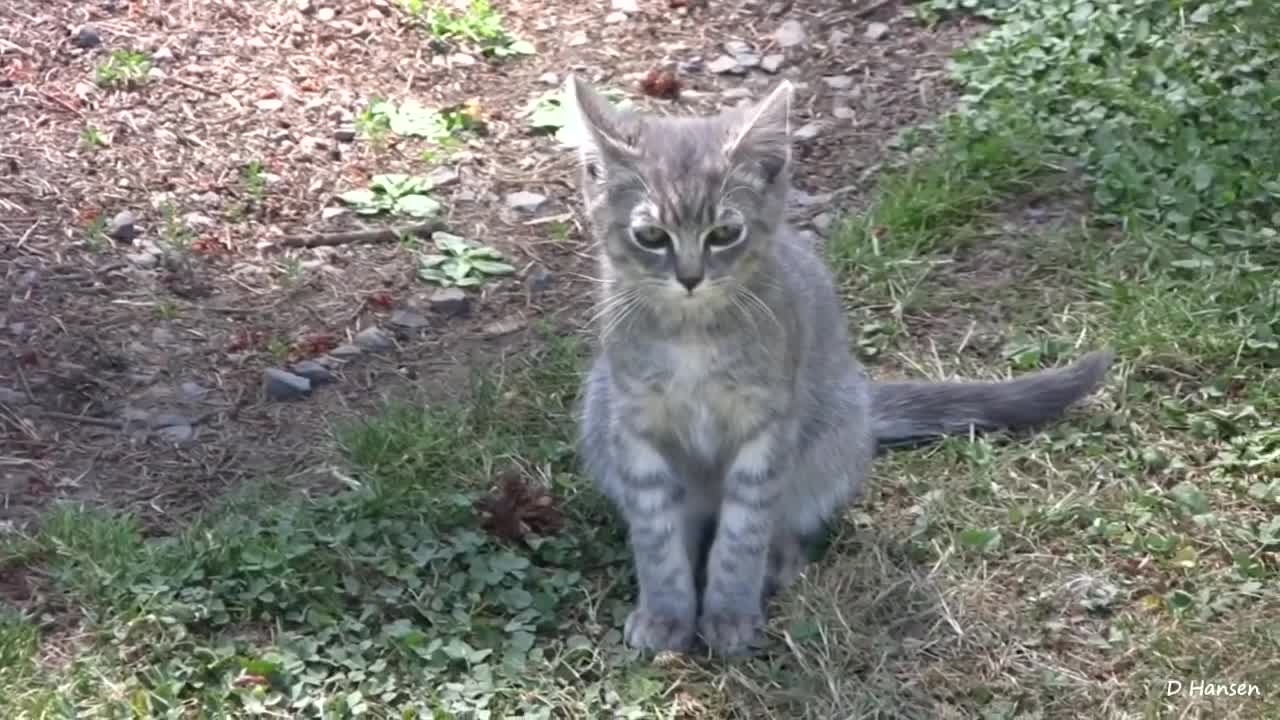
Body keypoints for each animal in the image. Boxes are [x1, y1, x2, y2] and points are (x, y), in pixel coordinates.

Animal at [568, 75, 1111, 653]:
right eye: (651, 237)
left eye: (724, 234)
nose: (690, 277)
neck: (692, 335)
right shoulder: (634, 428)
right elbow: (657, 534)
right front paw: (666, 612)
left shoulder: (767, 430)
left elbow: (743, 534)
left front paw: (730, 612)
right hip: (598, 411)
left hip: (831, 437)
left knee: (789, 520)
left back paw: (778, 563)